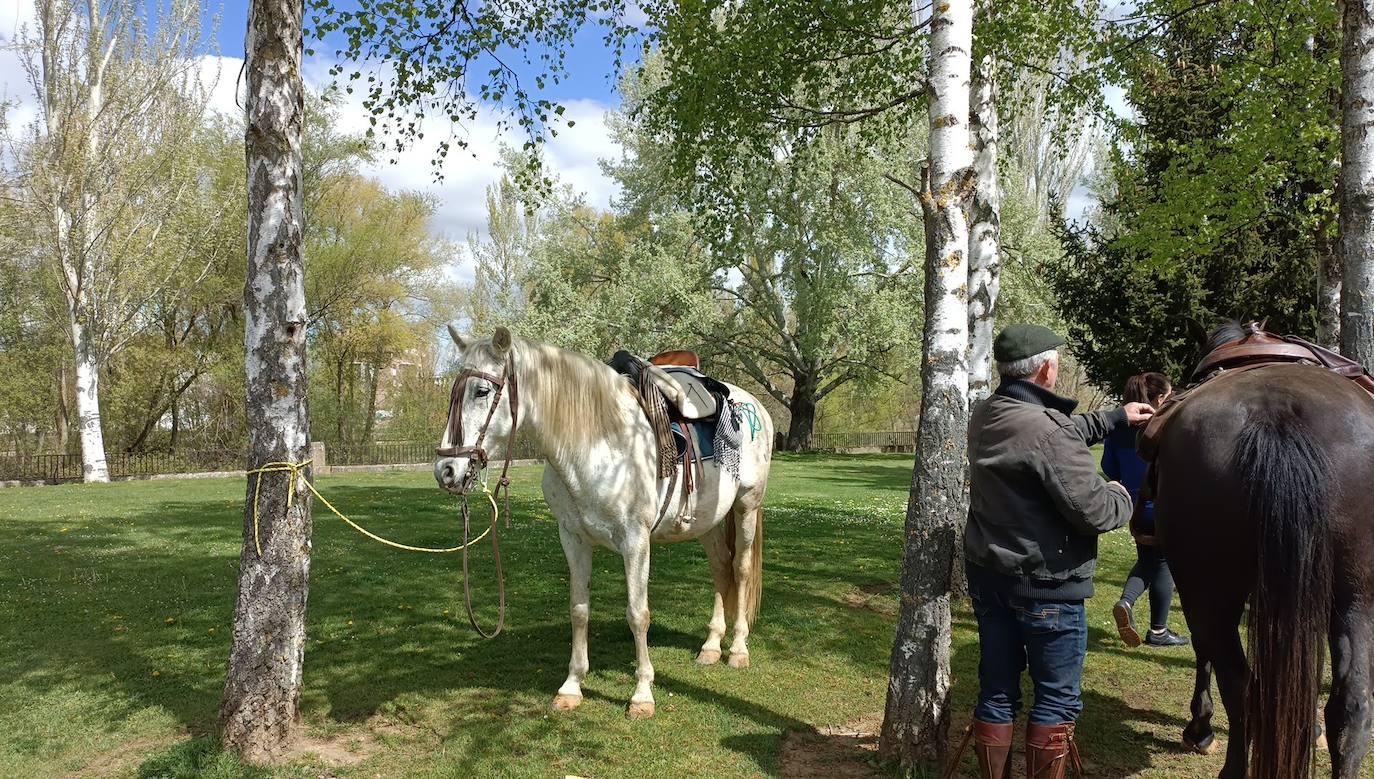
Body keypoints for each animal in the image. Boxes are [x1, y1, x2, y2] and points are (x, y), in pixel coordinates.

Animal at [428, 324, 774, 719]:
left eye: (482, 391)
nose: (446, 471)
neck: (597, 444)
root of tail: (753, 405)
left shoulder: (636, 541)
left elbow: (638, 614)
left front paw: (642, 694)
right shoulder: (573, 538)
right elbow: (579, 610)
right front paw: (571, 686)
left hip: (746, 506)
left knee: (740, 570)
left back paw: (738, 649)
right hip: (708, 521)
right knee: (720, 568)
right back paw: (712, 646)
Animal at [1154, 320, 1374, 774]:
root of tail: (1276, 415)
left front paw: (1199, 728)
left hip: (1210, 592)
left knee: (1241, 685)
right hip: (1358, 594)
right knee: (1352, 707)